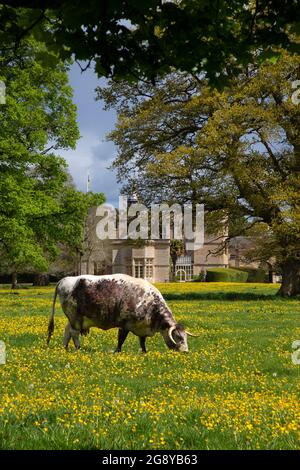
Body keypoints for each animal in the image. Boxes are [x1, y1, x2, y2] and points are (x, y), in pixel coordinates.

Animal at [47, 272, 198, 352]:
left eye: (185, 337)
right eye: (178, 337)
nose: (185, 351)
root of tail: (66, 279)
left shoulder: (141, 327)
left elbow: (142, 342)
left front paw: (144, 352)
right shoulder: (125, 325)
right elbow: (121, 340)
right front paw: (117, 351)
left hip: (75, 319)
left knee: (67, 331)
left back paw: (65, 348)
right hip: (75, 317)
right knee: (74, 333)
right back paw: (78, 348)